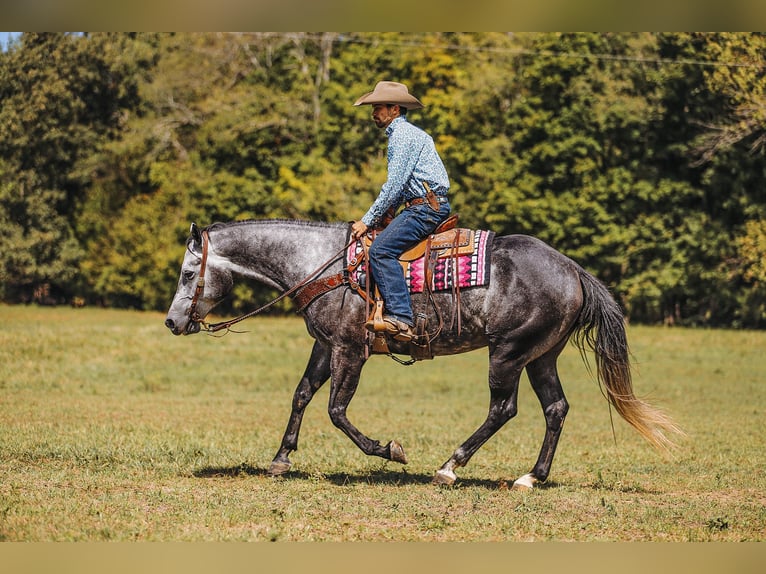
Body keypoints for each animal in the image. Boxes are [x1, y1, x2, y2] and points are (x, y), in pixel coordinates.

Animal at [165, 220, 680, 490]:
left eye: (189, 273)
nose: (172, 322)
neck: (324, 265)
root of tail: (572, 269)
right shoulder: (325, 344)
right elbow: (302, 395)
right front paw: (280, 458)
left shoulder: (350, 350)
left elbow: (336, 410)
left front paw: (390, 450)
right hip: (542, 355)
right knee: (555, 408)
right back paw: (530, 477)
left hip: (508, 352)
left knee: (504, 408)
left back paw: (449, 467)